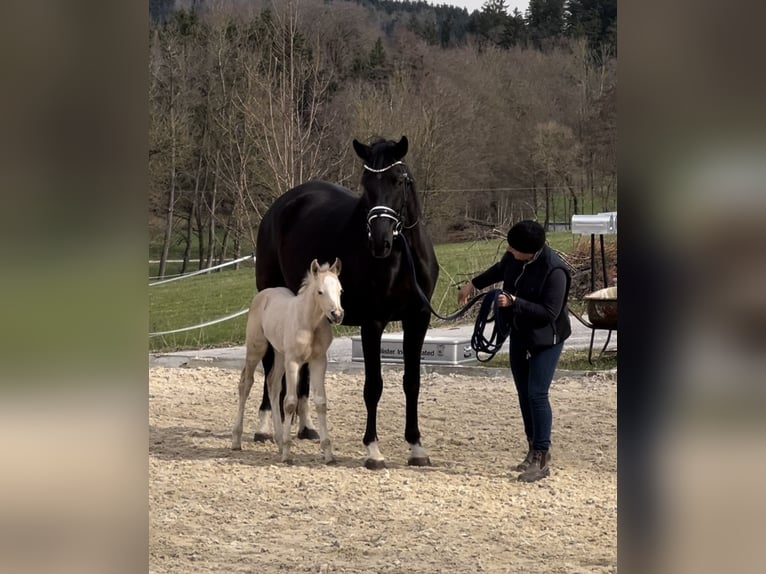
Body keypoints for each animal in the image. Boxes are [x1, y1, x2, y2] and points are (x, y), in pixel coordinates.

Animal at [231, 258, 344, 466]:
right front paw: (287, 455)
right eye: (320, 292)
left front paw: (328, 454)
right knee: (246, 383)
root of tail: (264, 294)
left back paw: (278, 440)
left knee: (273, 384)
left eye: (340, 290)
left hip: (279, 353)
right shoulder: (293, 361)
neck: (309, 323)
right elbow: (290, 402)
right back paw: (236, 440)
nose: (337, 314)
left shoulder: (318, 361)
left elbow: (321, 402)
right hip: (257, 347)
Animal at [256, 137, 440, 470]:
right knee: (268, 367)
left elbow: (412, 382)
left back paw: (306, 426)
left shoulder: (418, 319)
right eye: (366, 184)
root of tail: (279, 207)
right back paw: (264, 427)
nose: (379, 241)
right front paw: (373, 450)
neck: (400, 257)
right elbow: (373, 386)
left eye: (398, 180)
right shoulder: (373, 322)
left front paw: (416, 447)